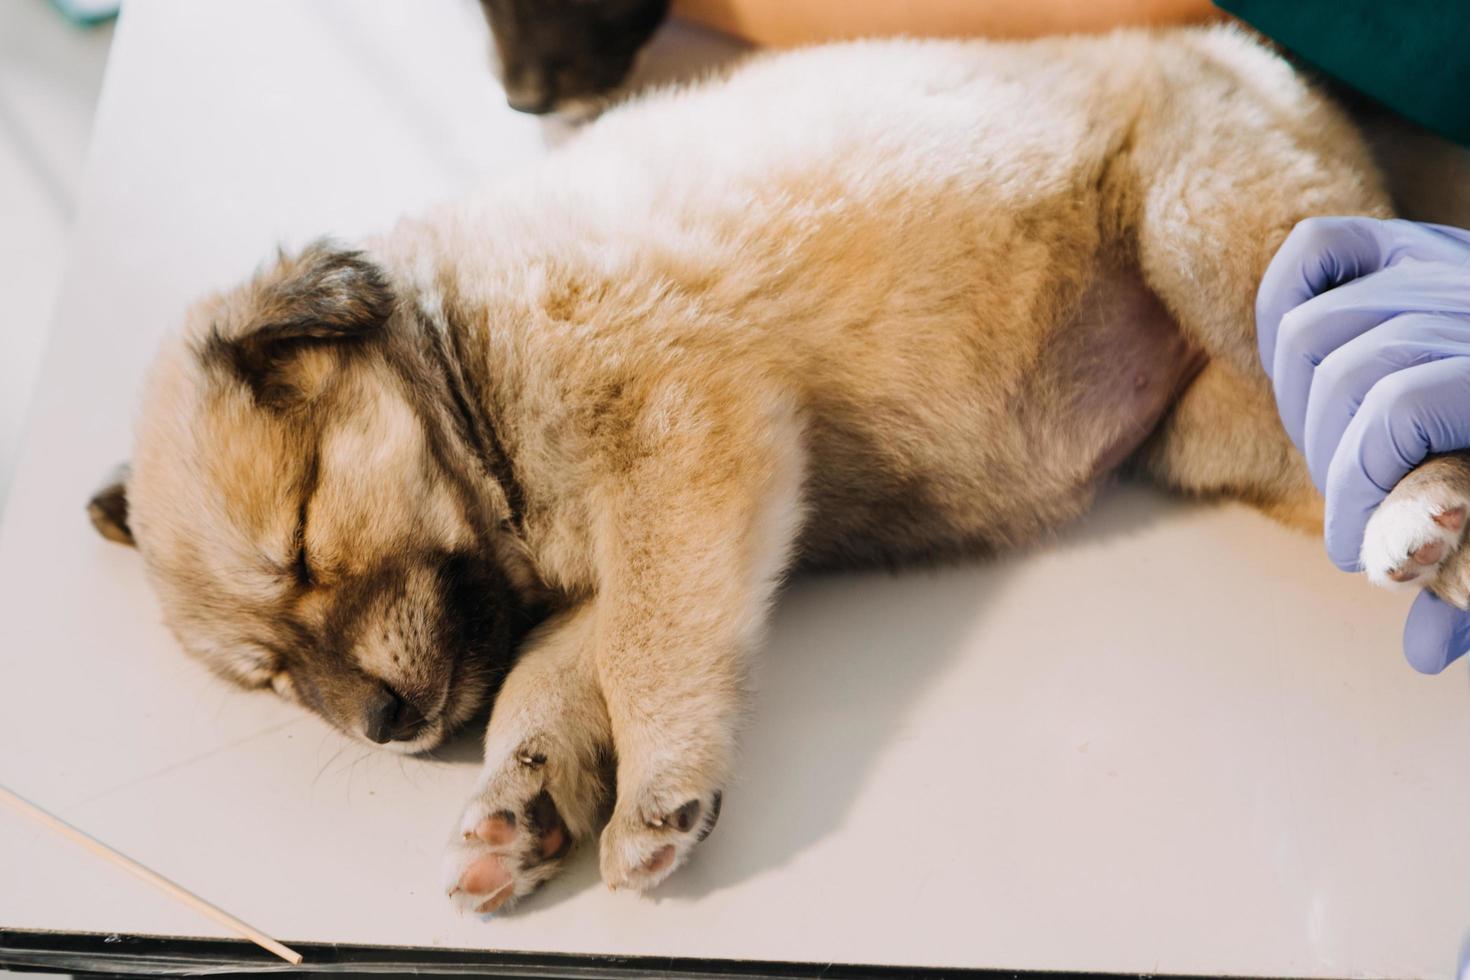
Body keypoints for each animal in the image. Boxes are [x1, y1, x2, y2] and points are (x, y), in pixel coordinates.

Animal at [88, 28, 1470, 910]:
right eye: (269, 675)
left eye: (303, 541)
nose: (381, 727)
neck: (463, 355)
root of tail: (1267, 66)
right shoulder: (596, 569)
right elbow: (556, 678)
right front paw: (519, 806)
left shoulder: (682, 436)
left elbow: (651, 647)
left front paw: (656, 794)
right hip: (1228, 423)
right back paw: (1432, 539)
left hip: (1222, 237)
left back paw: (1416, 513)